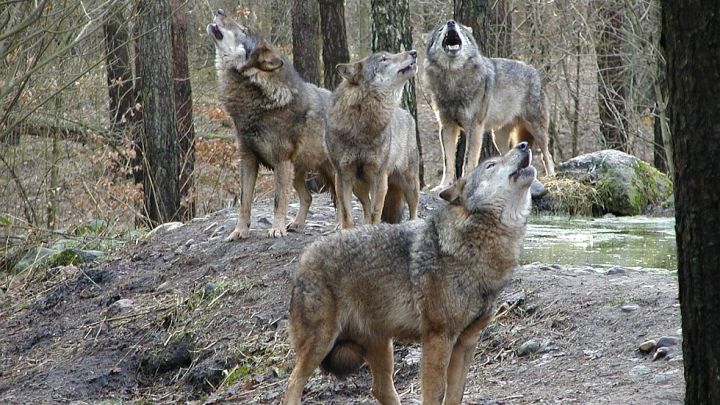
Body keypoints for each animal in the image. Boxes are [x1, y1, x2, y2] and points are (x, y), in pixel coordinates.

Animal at [208, 9, 338, 238]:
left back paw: (342, 225)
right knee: (308, 197)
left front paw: (276, 229)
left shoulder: (281, 161)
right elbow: (244, 201)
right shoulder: (248, 160)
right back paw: (296, 224)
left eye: (243, 29)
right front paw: (239, 231)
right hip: (297, 173)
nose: (220, 10)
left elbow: (278, 201)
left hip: (326, 172)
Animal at [282, 141, 536, 400]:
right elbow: (434, 395)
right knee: (293, 383)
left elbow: (454, 395)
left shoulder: (467, 342)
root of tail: (304, 257)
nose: (524, 145)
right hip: (321, 342)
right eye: (491, 165)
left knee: (380, 389)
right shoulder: (437, 338)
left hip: (382, 347)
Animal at [324, 50, 420, 227]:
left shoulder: (379, 177)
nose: (414, 52)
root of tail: (407, 113)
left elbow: (376, 212)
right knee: (366, 207)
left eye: (389, 55)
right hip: (359, 186)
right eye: (384, 59)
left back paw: (413, 223)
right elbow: (347, 215)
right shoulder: (343, 176)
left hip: (409, 182)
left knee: (413, 208)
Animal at [424, 18, 556, 189]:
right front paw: (443, 186)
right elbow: (448, 162)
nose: (451, 22)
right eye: (440, 30)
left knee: (547, 155)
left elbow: (468, 160)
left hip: (537, 130)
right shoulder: (447, 127)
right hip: (497, 138)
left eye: (460, 28)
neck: (453, 78)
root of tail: (533, 71)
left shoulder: (474, 127)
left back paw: (551, 175)